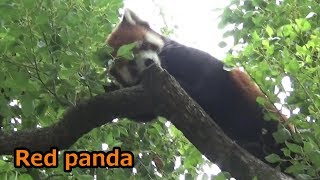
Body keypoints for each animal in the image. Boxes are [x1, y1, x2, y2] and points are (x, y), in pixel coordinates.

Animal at [105, 9, 292, 165]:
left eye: (143, 45)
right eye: (131, 63)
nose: (149, 62)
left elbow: (209, 84)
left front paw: (182, 83)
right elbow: (145, 113)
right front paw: (110, 88)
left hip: (265, 112)